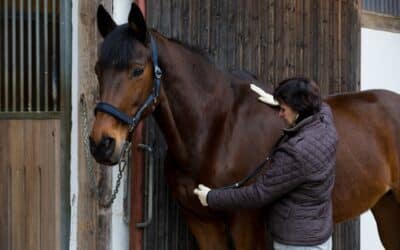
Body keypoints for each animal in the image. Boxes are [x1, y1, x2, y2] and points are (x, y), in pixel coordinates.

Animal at [90, 2, 400, 249]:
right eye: (97, 69)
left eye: (137, 69)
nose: (101, 143)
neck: (216, 129)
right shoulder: (202, 223)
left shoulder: (246, 223)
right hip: (386, 207)